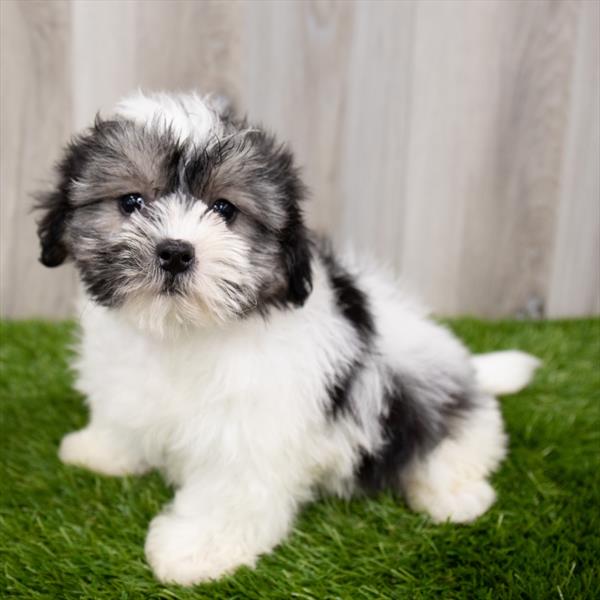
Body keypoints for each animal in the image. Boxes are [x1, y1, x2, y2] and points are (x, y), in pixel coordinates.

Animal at [35, 91, 540, 584]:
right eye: (132, 201)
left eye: (224, 209)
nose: (175, 252)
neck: (183, 331)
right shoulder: (127, 381)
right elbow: (124, 417)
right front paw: (100, 449)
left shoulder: (251, 432)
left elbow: (230, 494)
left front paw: (193, 550)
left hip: (426, 401)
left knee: (460, 443)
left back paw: (454, 494)